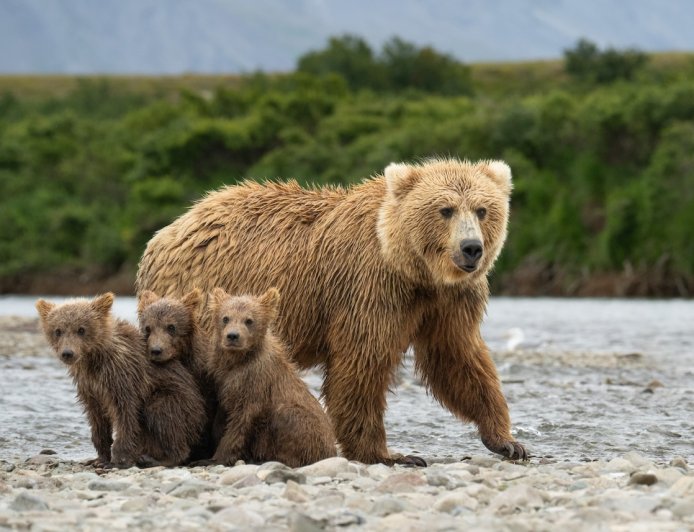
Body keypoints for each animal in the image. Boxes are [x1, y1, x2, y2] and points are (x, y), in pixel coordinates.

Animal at [35, 293, 150, 468]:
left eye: (81, 329)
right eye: (58, 330)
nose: (67, 353)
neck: (93, 361)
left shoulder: (121, 376)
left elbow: (125, 413)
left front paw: (119, 458)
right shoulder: (89, 386)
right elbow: (97, 418)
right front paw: (100, 458)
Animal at [207, 287, 337, 467]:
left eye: (249, 320)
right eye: (225, 318)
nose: (232, 336)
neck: (237, 361)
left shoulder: (256, 383)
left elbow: (241, 421)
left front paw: (218, 456)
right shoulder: (223, 381)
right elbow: (221, 417)